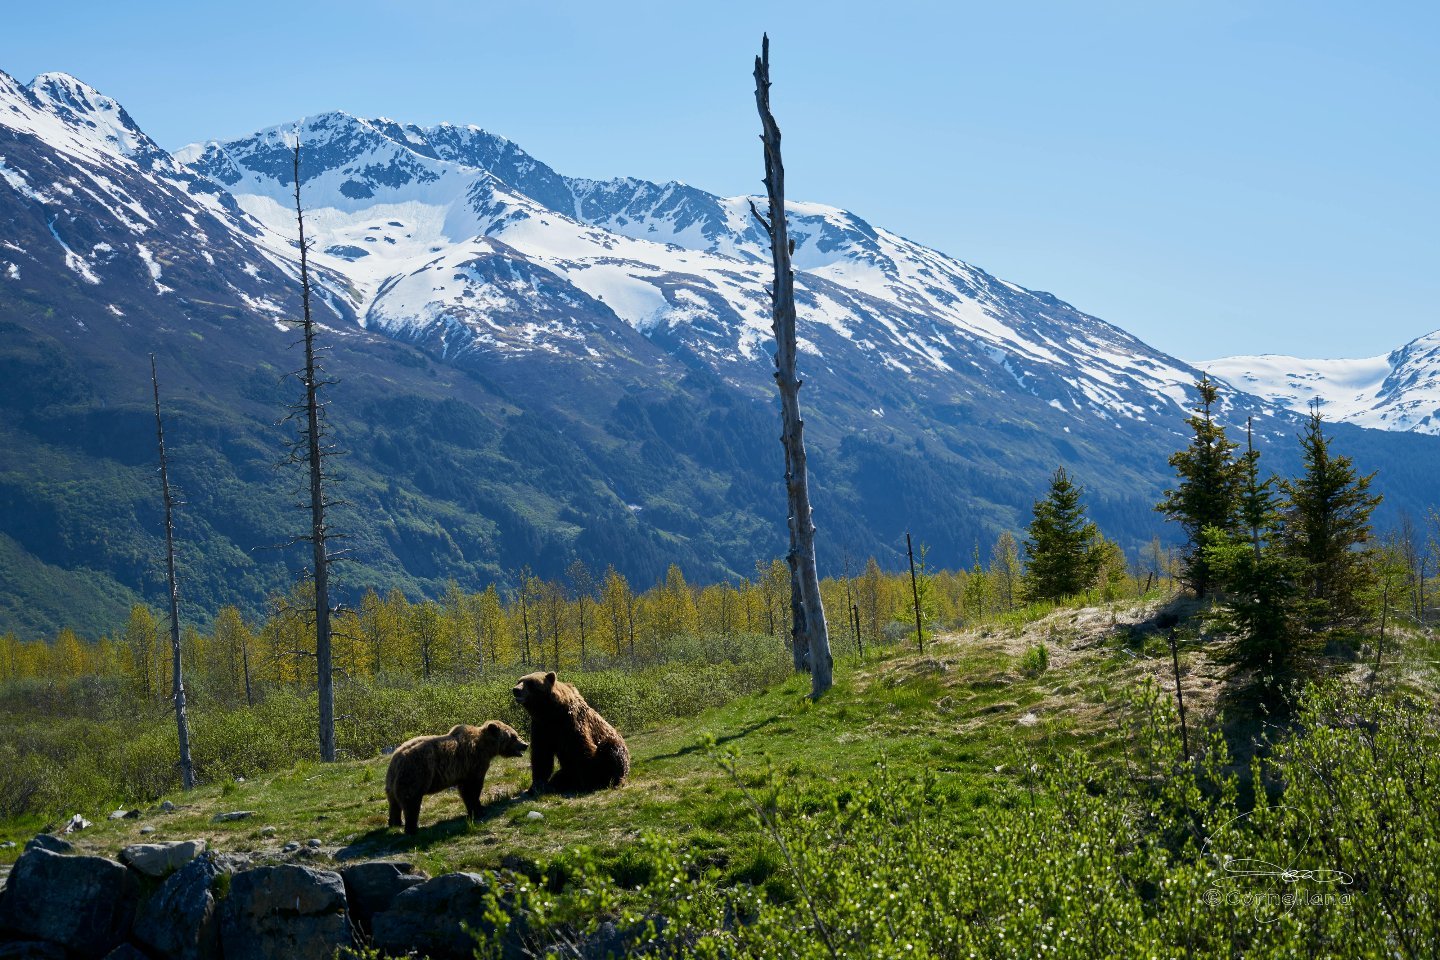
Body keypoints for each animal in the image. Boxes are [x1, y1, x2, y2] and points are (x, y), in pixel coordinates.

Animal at [383, 719, 529, 834]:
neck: (487, 748)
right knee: (411, 800)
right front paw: (479, 809)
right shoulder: (473, 764)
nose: (525, 745)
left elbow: (465, 791)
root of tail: (396, 758)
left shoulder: (463, 771)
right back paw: (412, 828)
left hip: (392, 781)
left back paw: (395, 822)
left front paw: (474, 809)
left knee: (393, 802)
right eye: (513, 736)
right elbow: (473, 788)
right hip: (416, 772)